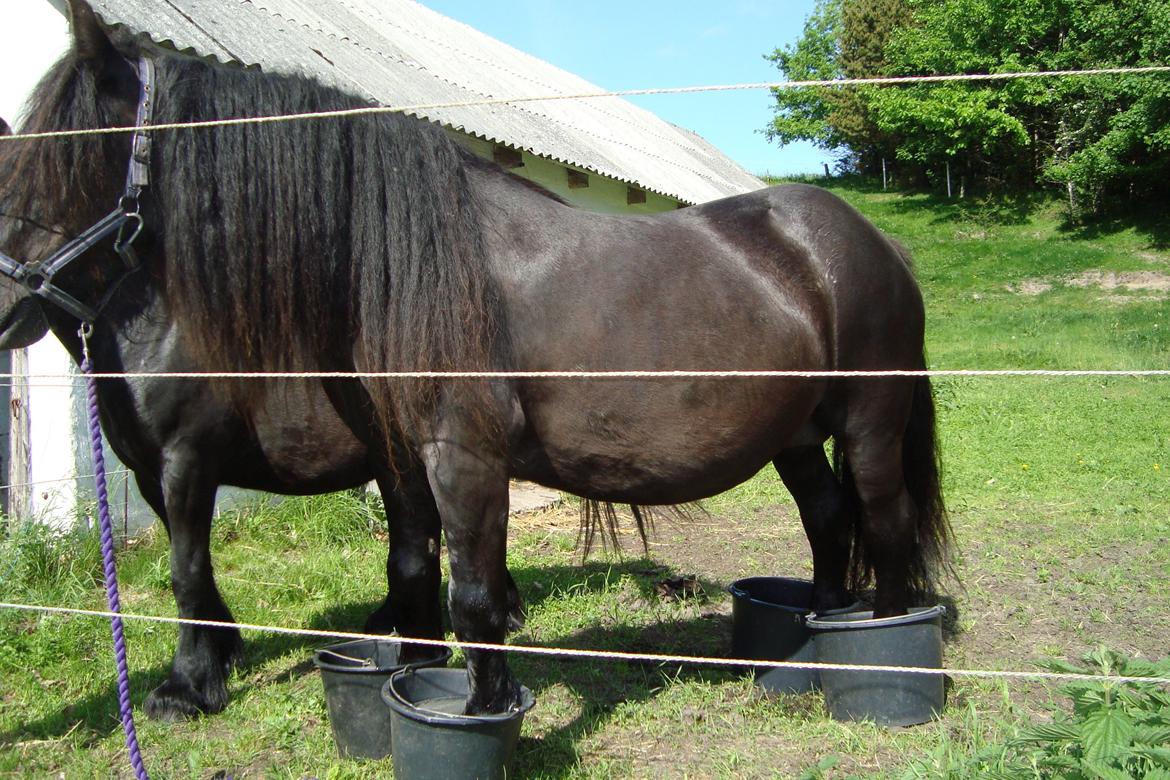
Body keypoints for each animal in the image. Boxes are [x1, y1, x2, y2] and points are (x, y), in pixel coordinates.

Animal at [0, 0, 949, 717]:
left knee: (884, 530)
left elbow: (472, 598)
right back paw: (808, 653)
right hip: (796, 437)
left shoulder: (455, 458)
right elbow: (417, 573)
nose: (6, 301)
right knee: (828, 523)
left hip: (868, 424)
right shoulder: (401, 461)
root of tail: (875, 244)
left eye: (58, 153)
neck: (412, 263)